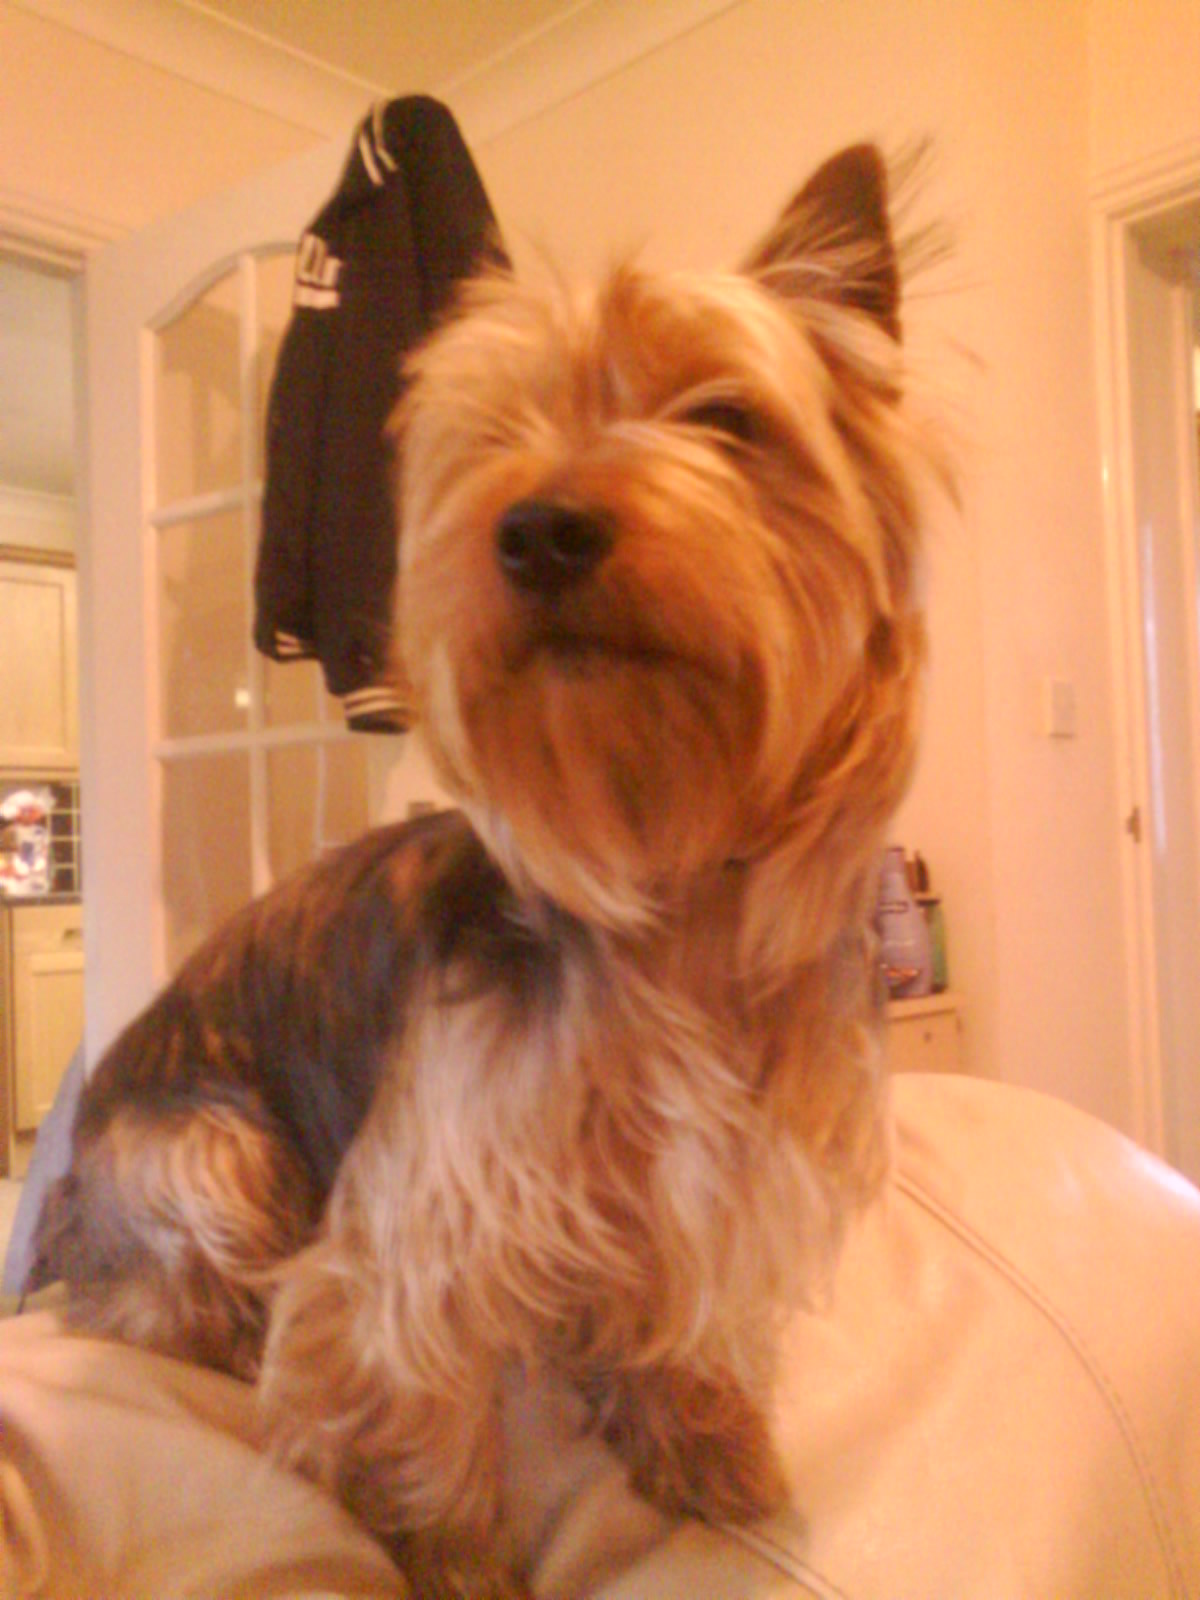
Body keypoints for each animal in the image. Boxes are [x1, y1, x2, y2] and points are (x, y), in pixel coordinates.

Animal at [35, 143, 943, 1597]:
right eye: (499, 434)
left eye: (727, 418)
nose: (539, 526)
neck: (668, 872)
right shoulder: (427, 1207)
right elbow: (419, 1399)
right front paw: (457, 1560)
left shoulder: (717, 1182)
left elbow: (677, 1324)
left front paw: (707, 1447)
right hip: (207, 1152)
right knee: (147, 1295)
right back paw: (222, 1324)